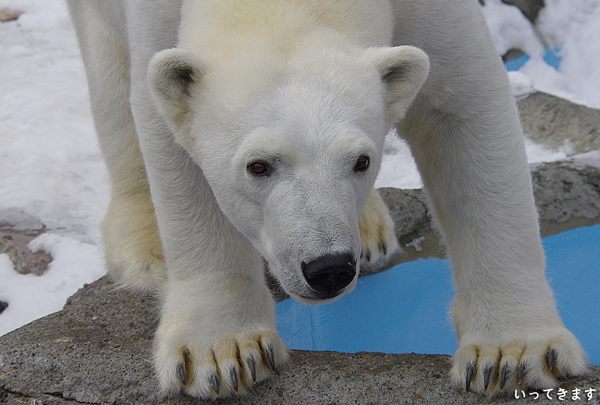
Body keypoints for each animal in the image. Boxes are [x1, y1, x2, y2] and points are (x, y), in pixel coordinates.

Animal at [65, 0, 584, 398]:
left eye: (361, 161)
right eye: (258, 166)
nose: (328, 267)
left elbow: (464, 110)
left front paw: (513, 354)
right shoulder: (154, 22)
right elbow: (166, 134)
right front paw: (222, 352)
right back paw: (145, 249)